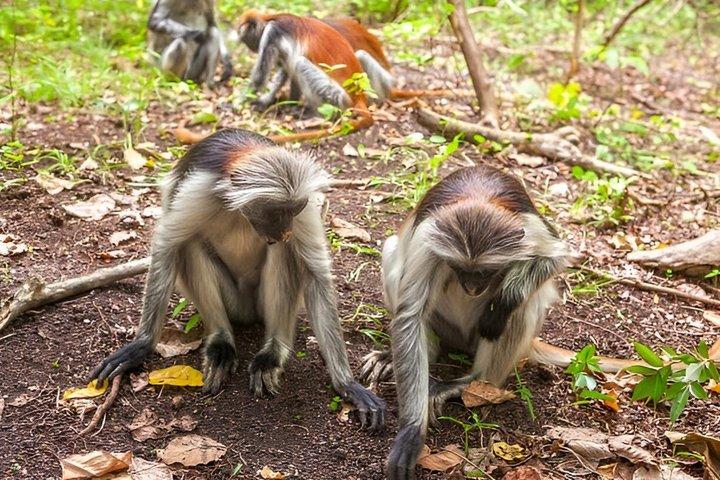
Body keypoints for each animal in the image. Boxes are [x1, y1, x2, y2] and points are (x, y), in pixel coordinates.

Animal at [90, 128, 385, 430]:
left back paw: (271, 353)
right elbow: (166, 248)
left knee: (283, 253)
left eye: (293, 210)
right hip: (234, 302)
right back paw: (221, 342)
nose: (286, 231)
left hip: (258, 302)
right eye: (276, 212)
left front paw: (347, 384)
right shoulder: (199, 191)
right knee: (189, 243)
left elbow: (316, 272)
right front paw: (142, 344)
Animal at [360, 165, 571, 479]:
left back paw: (472, 381)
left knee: (523, 305)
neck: (478, 198)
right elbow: (410, 316)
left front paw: (505, 300)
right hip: (445, 326)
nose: (472, 288)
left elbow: (555, 259)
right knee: (393, 253)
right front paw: (411, 431)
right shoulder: (430, 237)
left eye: (484, 272)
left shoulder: (530, 227)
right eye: (460, 268)